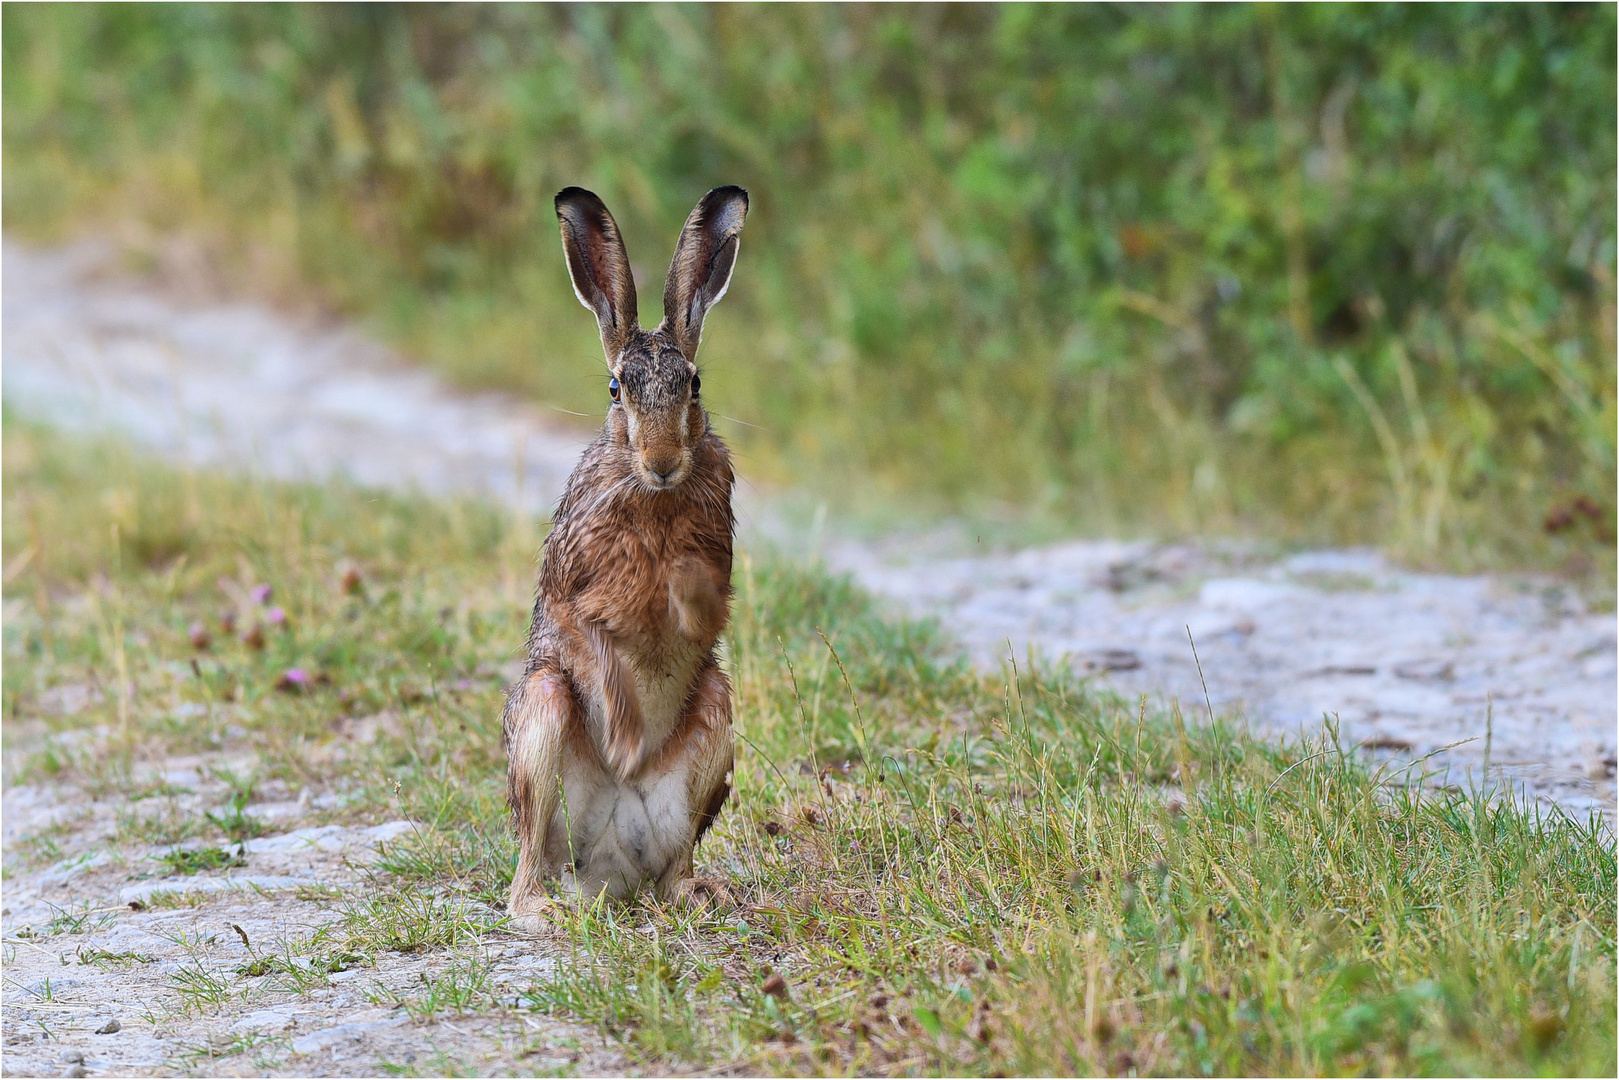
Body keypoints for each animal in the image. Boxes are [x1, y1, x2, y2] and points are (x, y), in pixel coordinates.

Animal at [503, 185, 748, 925]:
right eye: (616, 390)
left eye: (694, 384)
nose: (663, 462)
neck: (654, 499)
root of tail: (610, 864)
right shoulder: (569, 591)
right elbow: (594, 642)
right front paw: (624, 734)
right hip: (541, 717)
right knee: (528, 861)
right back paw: (544, 909)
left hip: (715, 718)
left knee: (676, 864)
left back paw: (699, 893)